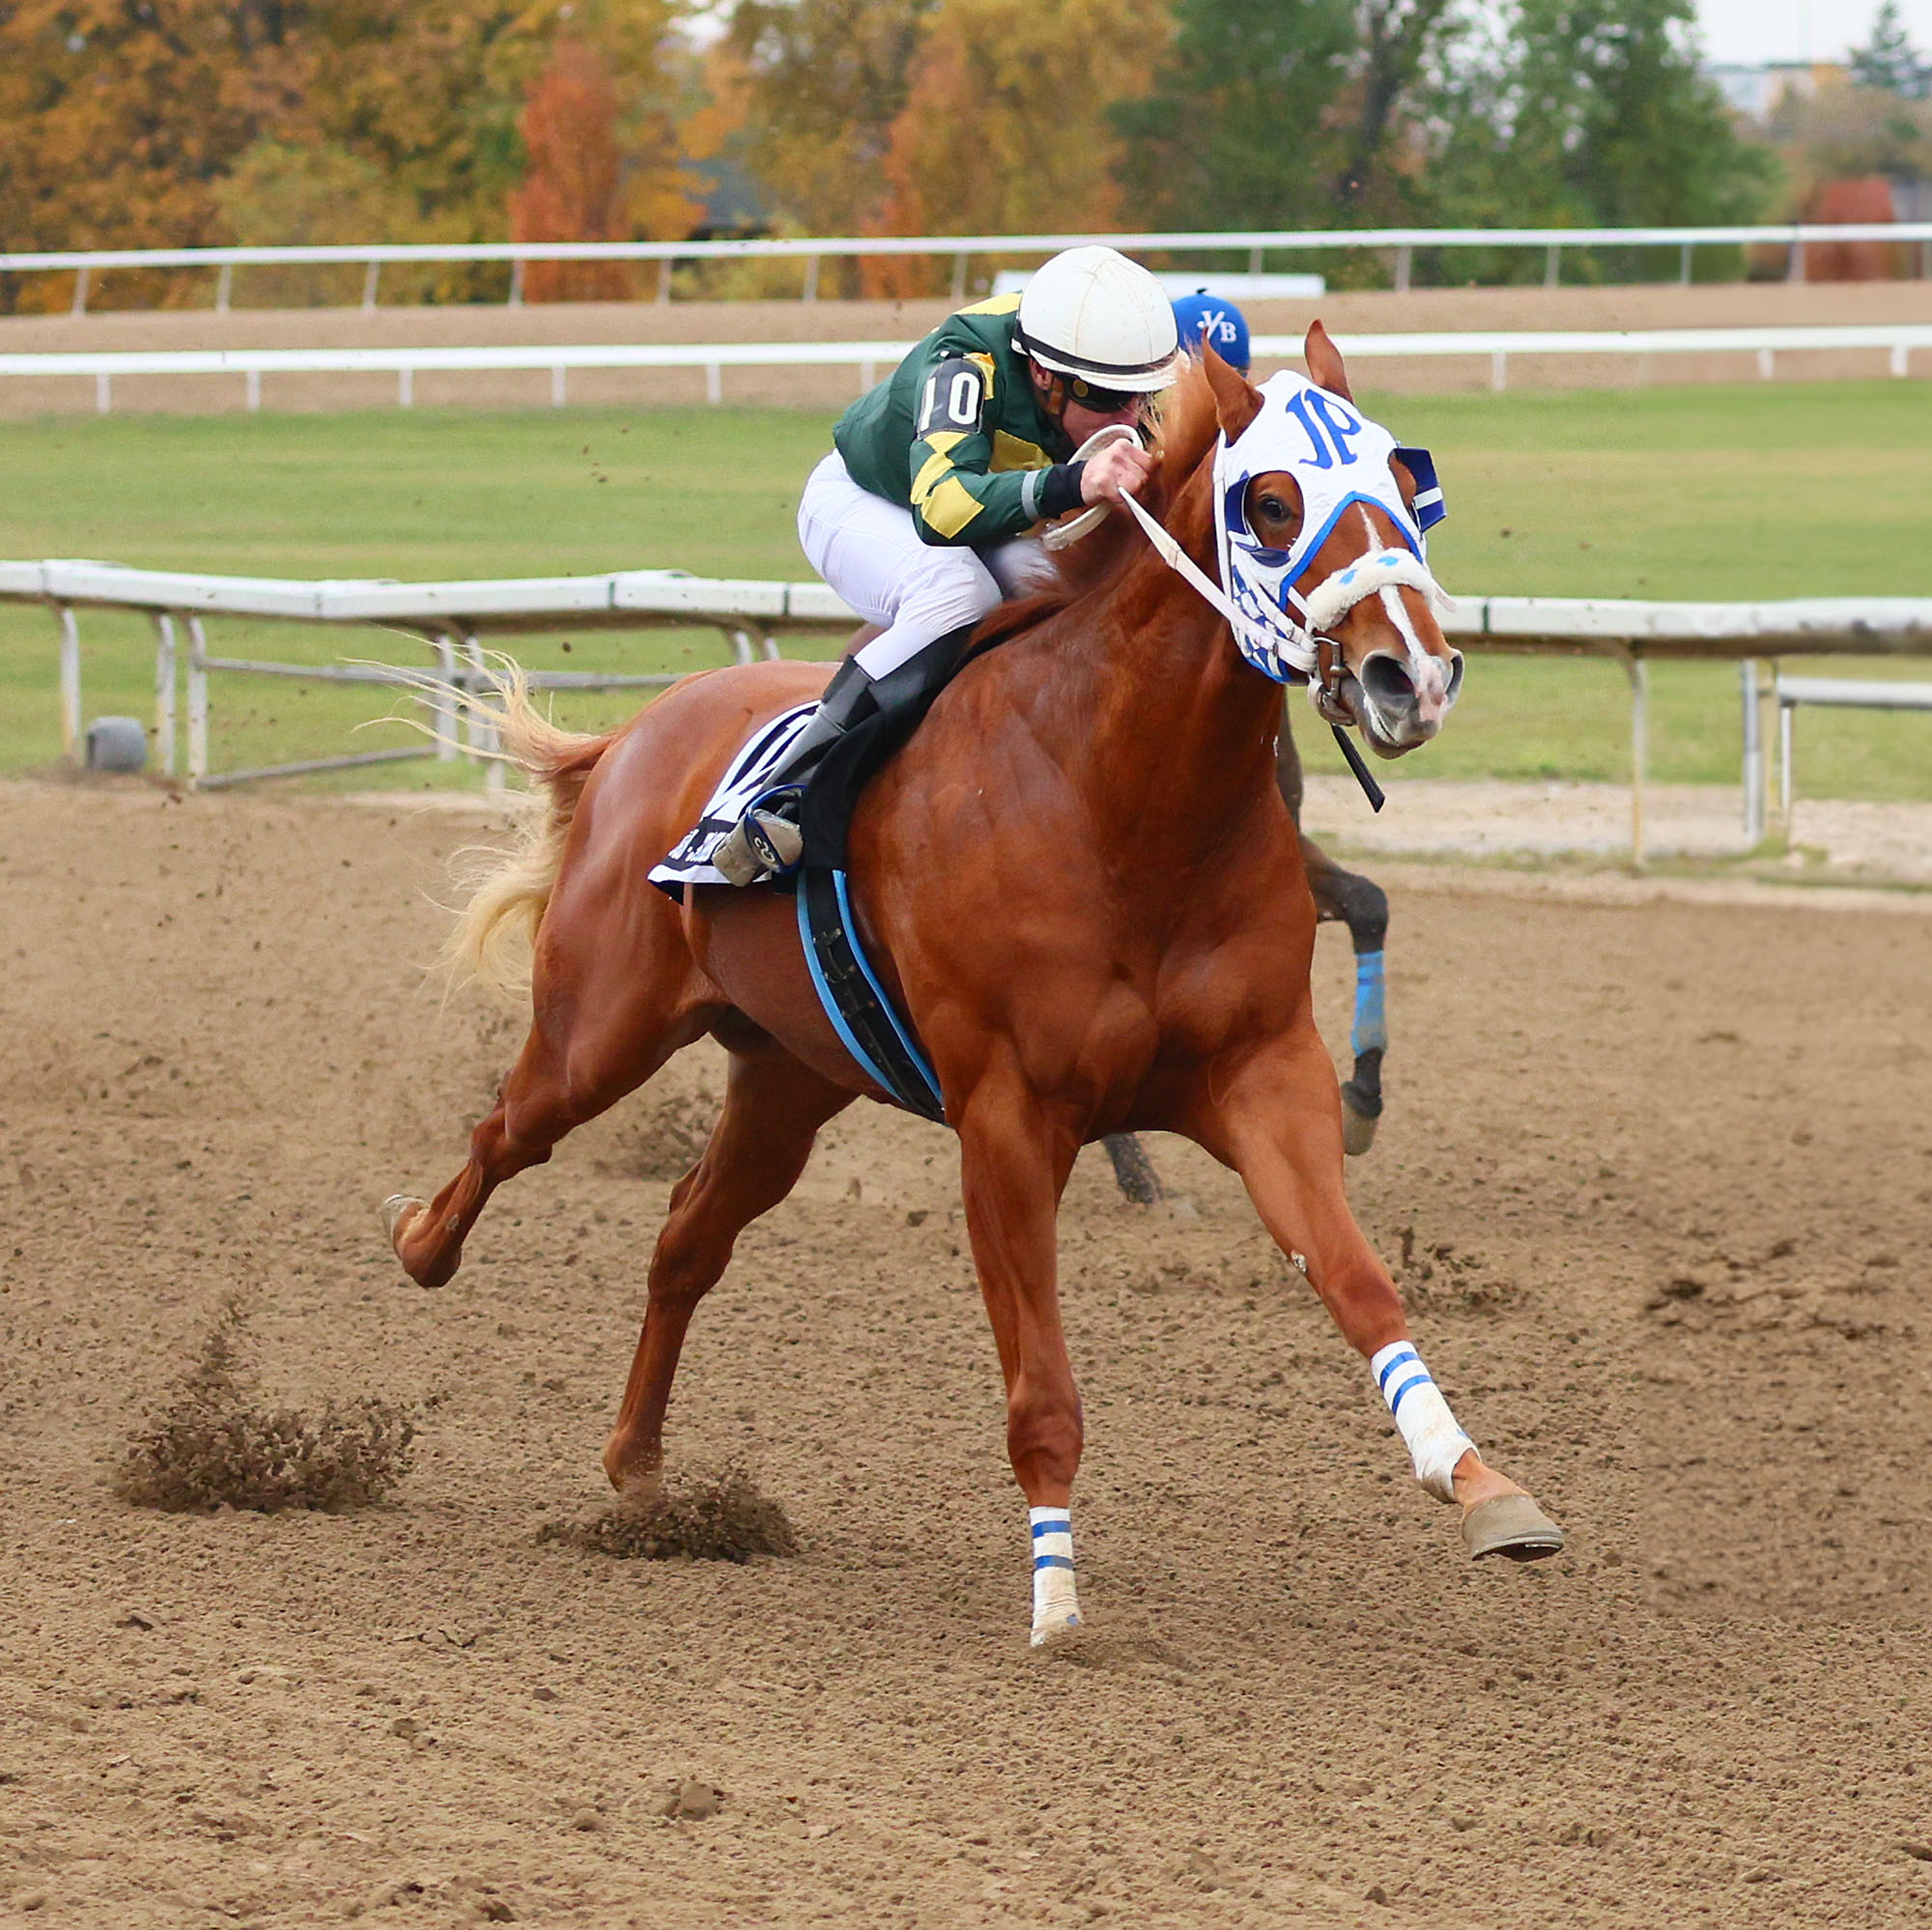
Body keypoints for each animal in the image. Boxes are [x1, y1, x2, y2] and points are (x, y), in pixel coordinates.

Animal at [384, 332, 1561, 1646]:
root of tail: (635, 734)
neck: (1121, 795)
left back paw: (639, 1475)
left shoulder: (1261, 1076)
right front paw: (1054, 1597)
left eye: (1407, 486)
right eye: (1269, 503)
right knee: (507, 1128)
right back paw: (421, 1244)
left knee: (688, 1235)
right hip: (600, 1027)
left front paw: (1482, 1486)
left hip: (789, 1076)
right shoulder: (1006, 1114)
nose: (1412, 676)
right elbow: (1041, 1387)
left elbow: (1359, 1283)